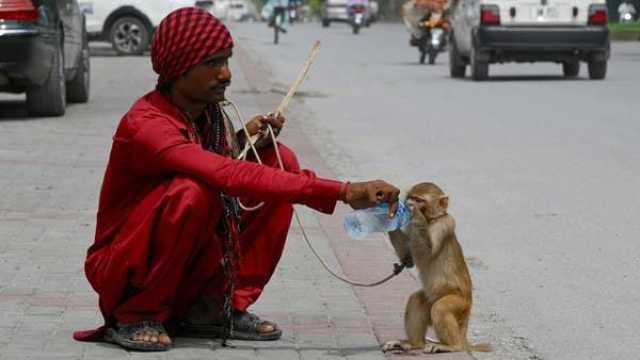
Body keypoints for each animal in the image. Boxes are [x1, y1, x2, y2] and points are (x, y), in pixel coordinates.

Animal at [382, 183, 492, 354]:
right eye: (410, 197)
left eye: (419, 200)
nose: (408, 204)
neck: (431, 220)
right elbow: (409, 259)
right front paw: (390, 215)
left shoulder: (444, 224)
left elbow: (427, 253)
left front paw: (415, 214)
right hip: (433, 300)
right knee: (417, 300)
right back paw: (414, 344)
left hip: (460, 304)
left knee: (440, 308)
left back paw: (452, 346)